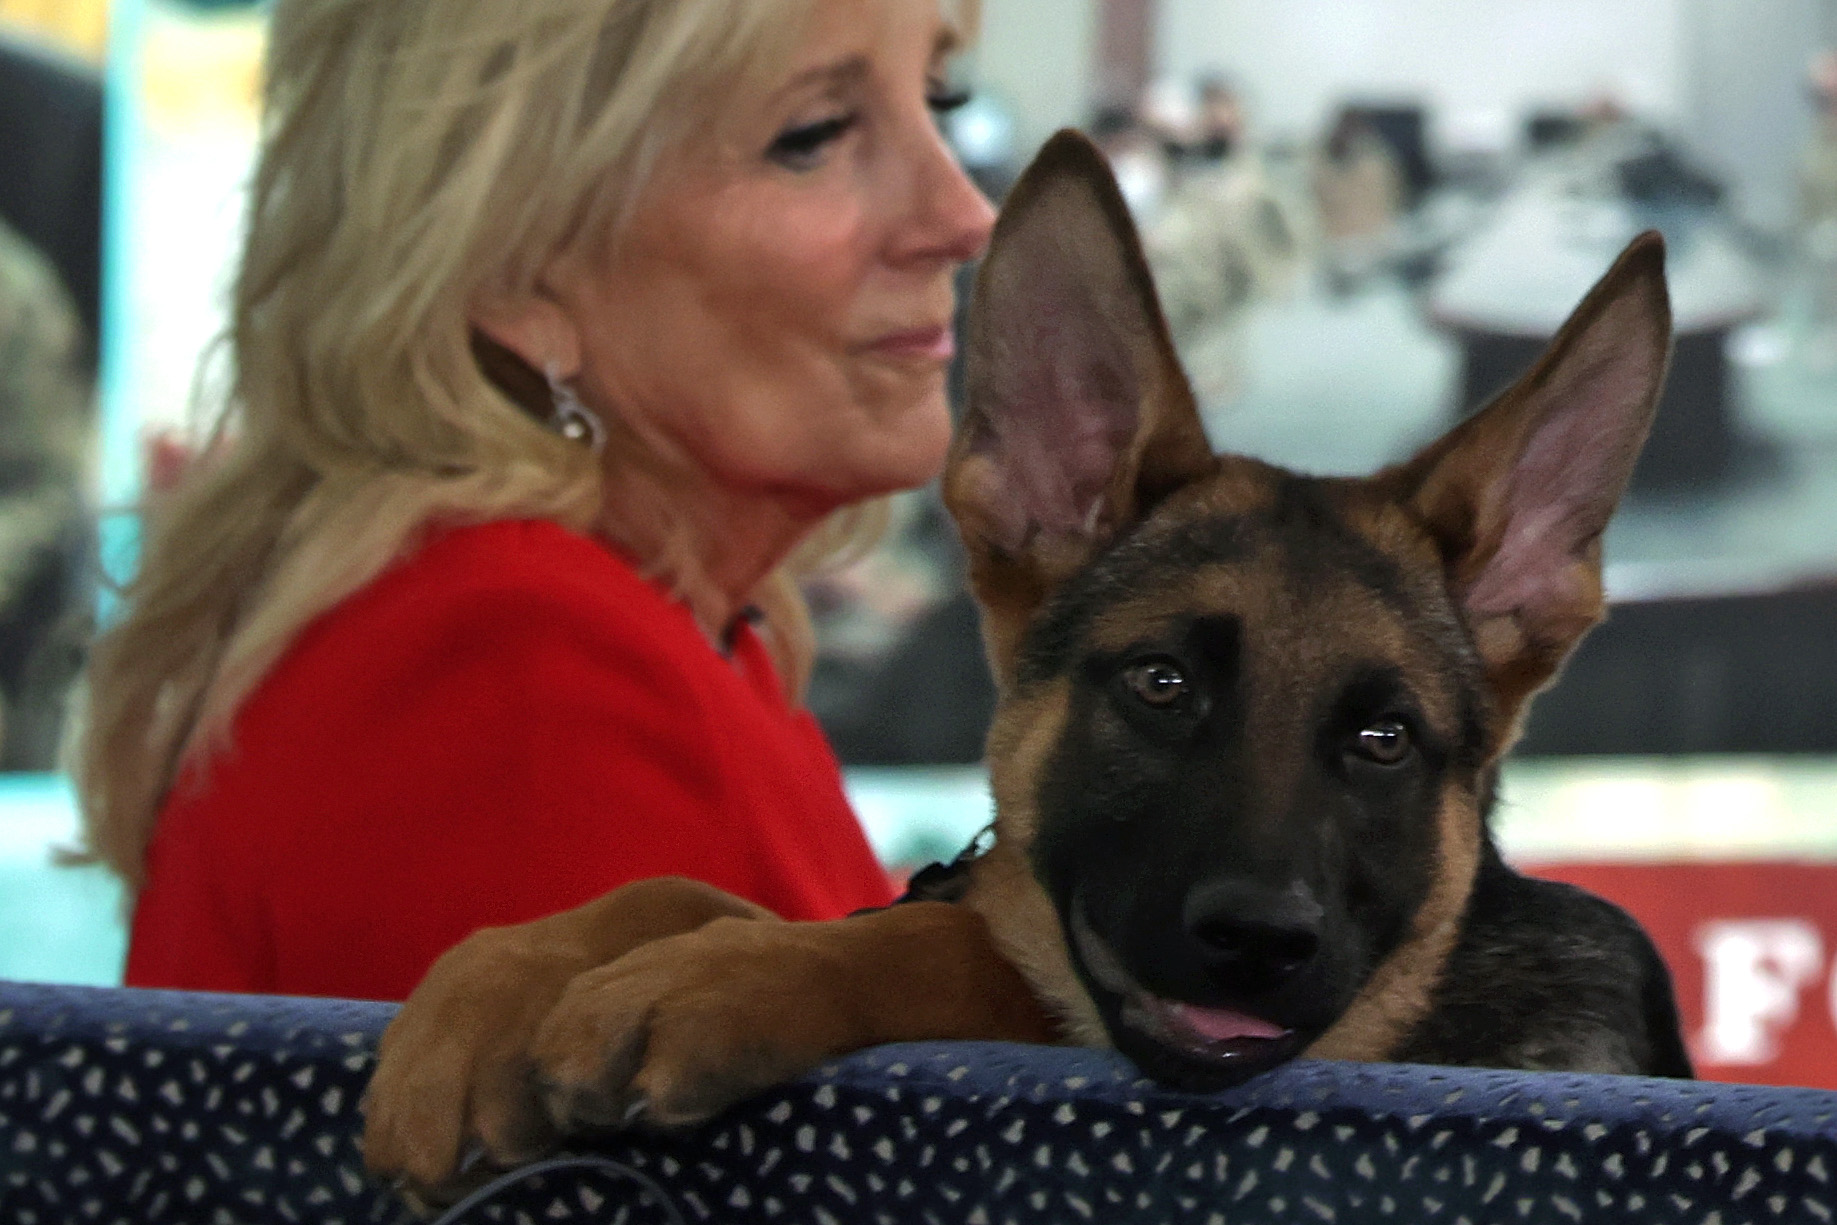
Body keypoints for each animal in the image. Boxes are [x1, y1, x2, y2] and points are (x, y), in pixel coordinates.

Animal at [369, 134, 1690, 1197]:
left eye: (1385, 740)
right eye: (1159, 683)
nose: (1262, 943)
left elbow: (953, 949)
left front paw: (743, 974)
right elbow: (683, 887)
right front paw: (504, 978)